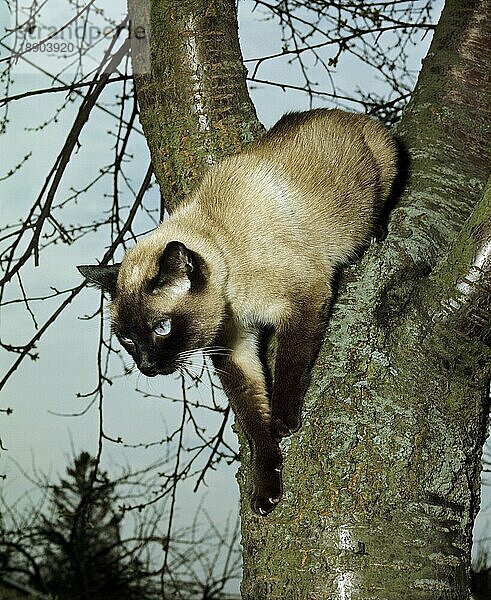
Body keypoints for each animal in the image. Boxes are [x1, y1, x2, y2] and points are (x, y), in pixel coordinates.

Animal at [79, 108, 398, 516]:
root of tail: (344, 114)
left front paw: (283, 421)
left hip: (381, 166)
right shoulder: (234, 349)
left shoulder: (305, 296)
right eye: (127, 340)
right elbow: (253, 422)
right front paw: (265, 488)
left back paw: (375, 232)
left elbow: (289, 365)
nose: (147, 367)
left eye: (161, 327)